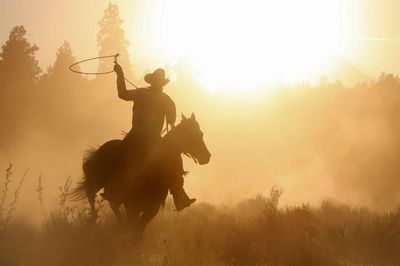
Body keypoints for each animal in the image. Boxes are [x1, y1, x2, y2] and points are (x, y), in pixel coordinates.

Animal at [72, 112, 211, 235]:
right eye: (192, 135)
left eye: (201, 133)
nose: (207, 156)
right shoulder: (131, 206)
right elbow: (134, 229)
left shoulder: (152, 208)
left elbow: (138, 231)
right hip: (96, 182)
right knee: (91, 196)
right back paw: (94, 220)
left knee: (113, 205)